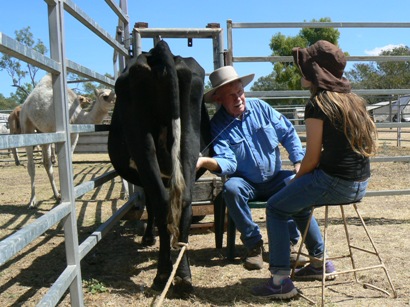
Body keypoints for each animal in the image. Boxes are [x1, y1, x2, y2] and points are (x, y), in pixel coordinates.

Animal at [108, 39, 211, 294]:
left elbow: (152, 204)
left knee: (163, 202)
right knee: (184, 202)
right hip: (189, 137)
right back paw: (183, 276)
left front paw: (148, 237)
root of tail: (161, 51)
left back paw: (162, 275)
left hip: (142, 142)